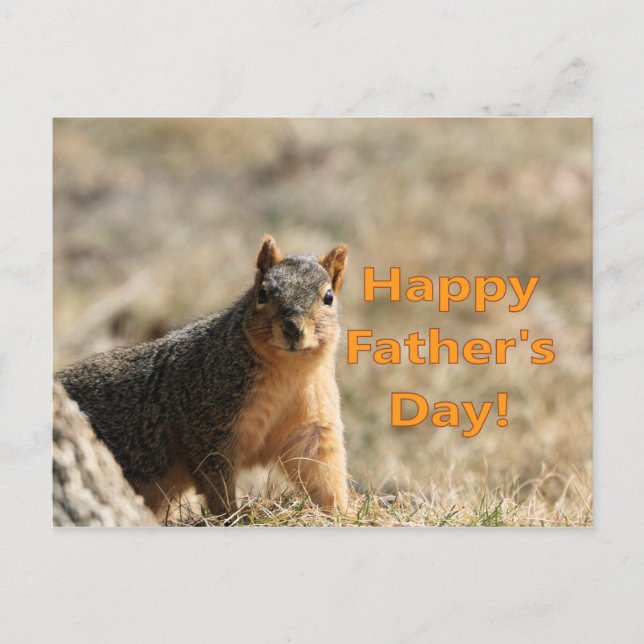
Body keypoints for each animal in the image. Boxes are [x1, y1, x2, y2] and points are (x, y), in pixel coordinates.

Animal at [56, 235, 350, 520]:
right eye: (262, 293)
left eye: (329, 297)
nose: (292, 328)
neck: (289, 371)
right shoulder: (204, 421)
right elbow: (215, 478)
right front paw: (231, 515)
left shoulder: (312, 426)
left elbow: (321, 471)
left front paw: (341, 512)